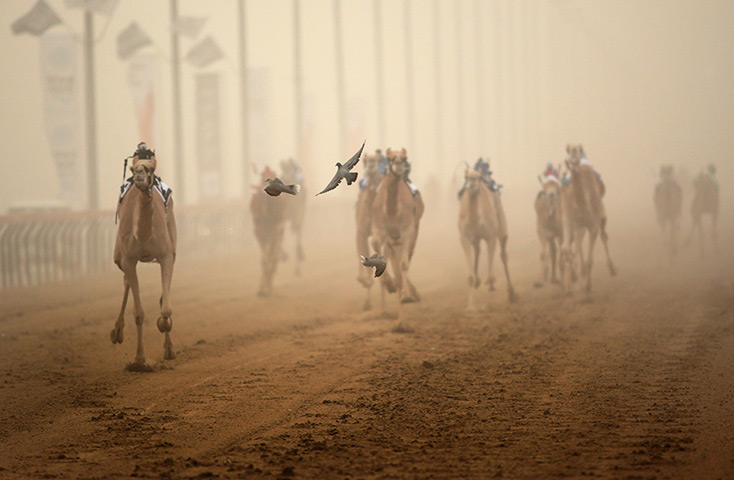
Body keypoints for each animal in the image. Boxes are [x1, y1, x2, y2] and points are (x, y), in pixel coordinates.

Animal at [110, 144, 177, 366]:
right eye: (132, 168)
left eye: (151, 168)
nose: (139, 175)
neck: (143, 235)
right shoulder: (128, 259)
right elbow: (139, 313)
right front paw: (139, 359)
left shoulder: (166, 256)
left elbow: (165, 308)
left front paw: (164, 330)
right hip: (118, 256)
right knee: (126, 281)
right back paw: (116, 332)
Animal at [252, 168, 288, 296]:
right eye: (262, 176)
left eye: (272, 175)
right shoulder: (259, 232)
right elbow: (265, 259)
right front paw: (262, 288)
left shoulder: (276, 230)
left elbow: (272, 257)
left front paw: (267, 288)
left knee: (273, 255)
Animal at [374, 146, 426, 318]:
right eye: (390, 158)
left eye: (404, 158)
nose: (398, 165)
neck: (392, 212)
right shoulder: (380, 229)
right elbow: (376, 246)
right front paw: (390, 285)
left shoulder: (407, 230)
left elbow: (403, 263)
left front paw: (407, 296)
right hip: (393, 239)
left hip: (414, 228)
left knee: (407, 257)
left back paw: (409, 295)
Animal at [458, 169, 520, 312]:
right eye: (466, 176)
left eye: (479, 177)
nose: (472, 182)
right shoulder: (464, 238)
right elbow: (470, 277)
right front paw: (470, 307)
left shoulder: (491, 236)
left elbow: (491, 276)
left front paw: (490, 284)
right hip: (476, 238)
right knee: (477, 250)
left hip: (501, 224)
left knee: (503, 254)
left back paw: (511, 294)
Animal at [560, 143, 620, 292]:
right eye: (568, 150)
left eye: (578, 150)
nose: (573, 162)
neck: (581, 203)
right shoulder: (569, 220)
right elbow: (567, 249)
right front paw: (570, 284)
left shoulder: (593, 225)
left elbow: (590, 259)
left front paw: (587, 284)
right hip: (578, 224)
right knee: (579, 242)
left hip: (601, 216)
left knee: (604, 236)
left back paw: (612, 269)